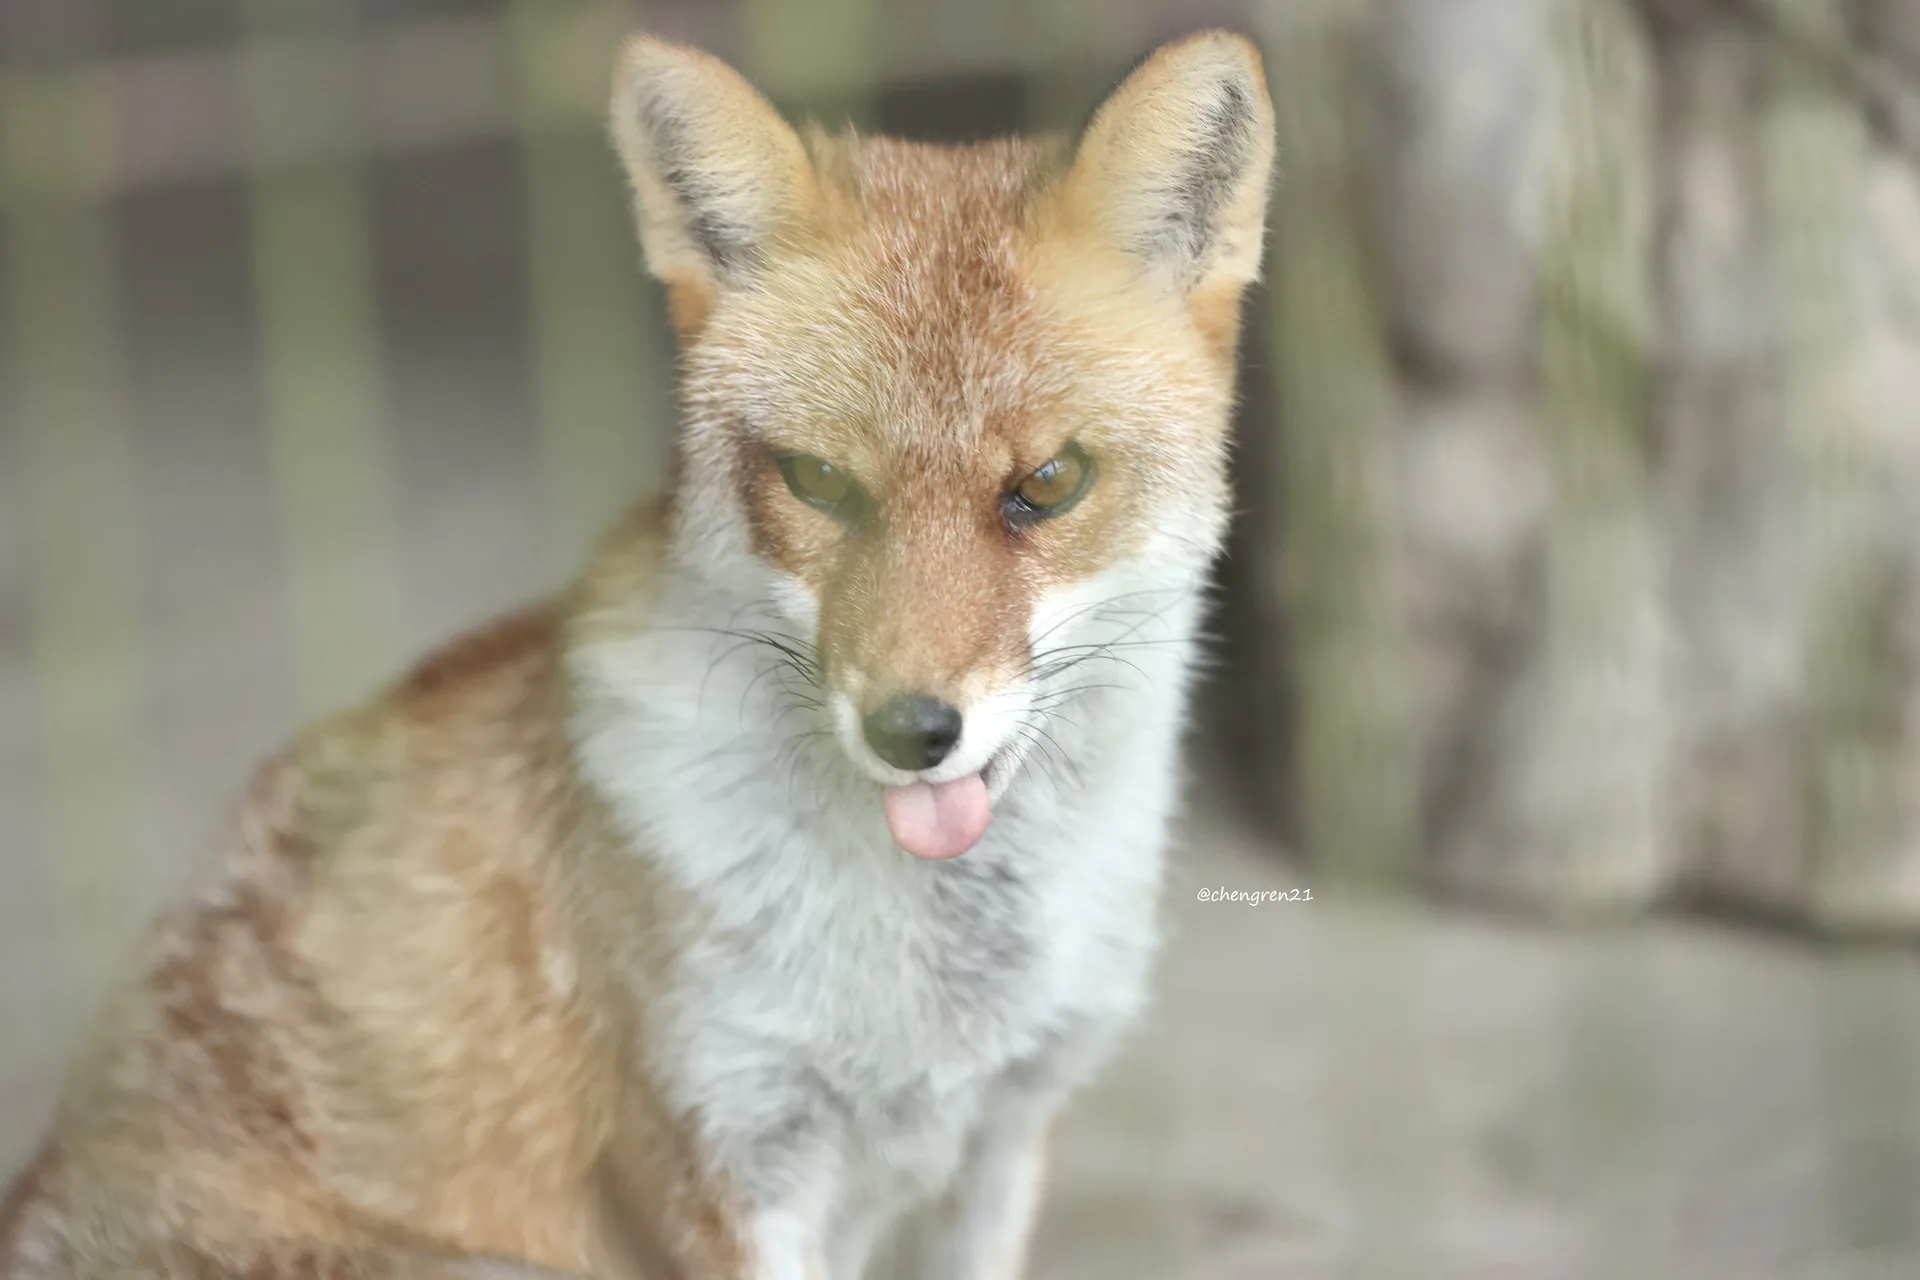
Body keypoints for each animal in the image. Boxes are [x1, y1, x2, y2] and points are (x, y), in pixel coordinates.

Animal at [1, 27, 1274, 1280]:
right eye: (819, 481)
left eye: (1049, 483)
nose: (911, 730)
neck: (936, 991)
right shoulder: (724, 1154)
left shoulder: (1001, 1135)